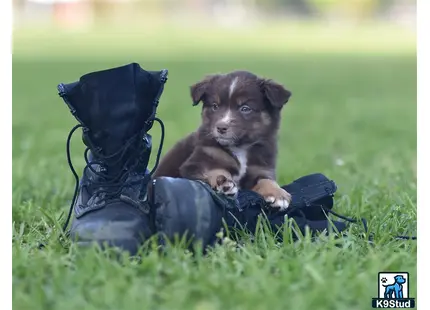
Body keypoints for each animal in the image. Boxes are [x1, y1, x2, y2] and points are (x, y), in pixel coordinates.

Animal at [152, 70, 292, 211]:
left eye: (245, 108)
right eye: (215, 106)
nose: (221, 127)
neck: (240, 147)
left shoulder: (261, 168)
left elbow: (267, 180)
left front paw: (277, 194)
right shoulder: (196, 162)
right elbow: (215, 170)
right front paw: (224, 182)